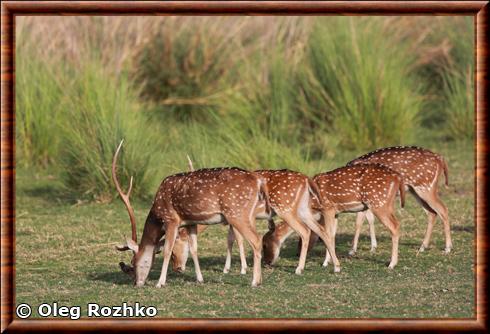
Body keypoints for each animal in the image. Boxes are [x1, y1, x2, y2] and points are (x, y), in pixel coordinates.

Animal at [113, 141, 270, 288]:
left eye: (133, 262)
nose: (137, 283)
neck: (157, 212)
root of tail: (258, 180)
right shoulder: (191, 222)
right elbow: (194, 249)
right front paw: (200, 279)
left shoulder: (171, 219)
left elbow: (167, 250)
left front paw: (160, 283)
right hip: (247, 214)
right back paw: (260, 279)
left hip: (236, 213)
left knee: (256, 240)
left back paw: (254, 282)